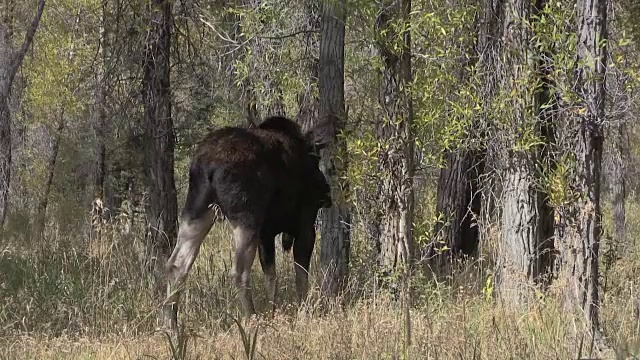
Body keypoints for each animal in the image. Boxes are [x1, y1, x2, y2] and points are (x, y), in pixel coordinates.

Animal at [162, 116, 332, 330]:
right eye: (316, 159)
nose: (326, 191)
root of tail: (206, 166)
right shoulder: (305, 224)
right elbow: (300, 275)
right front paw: (304, 311)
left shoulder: (266, 233)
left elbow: (271, 276)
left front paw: (274, 312)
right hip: (246, 217)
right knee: (239, 271)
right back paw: (251, 319)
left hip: (197, 209)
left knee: (176, 264)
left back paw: (171, 325)